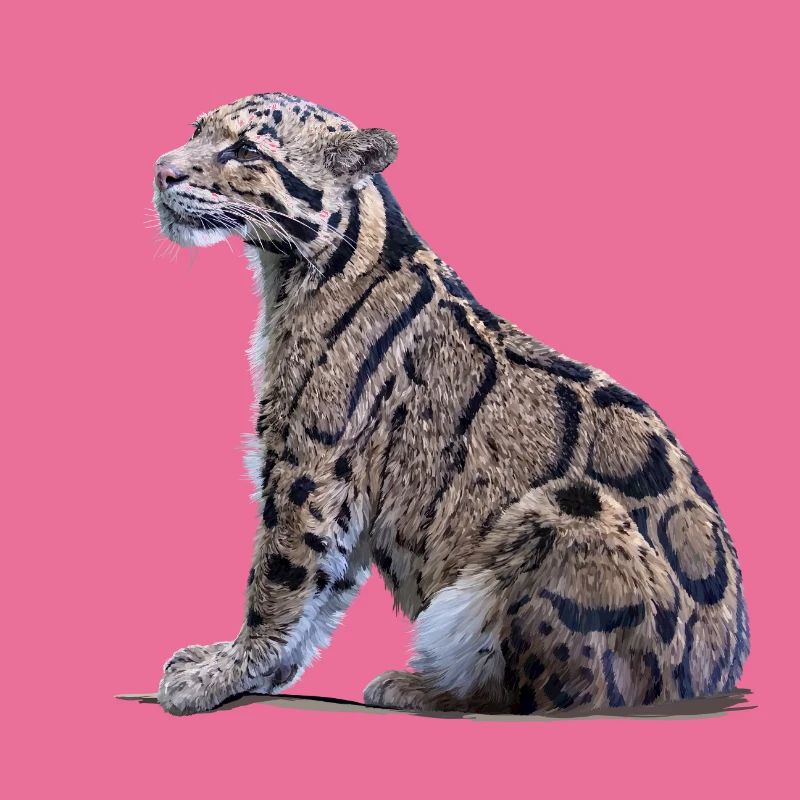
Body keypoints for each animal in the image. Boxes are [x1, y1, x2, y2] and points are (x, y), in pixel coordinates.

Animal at [153, 92, 749, 716]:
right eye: (195, 130)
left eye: (247, 150)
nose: (161, 171)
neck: (286, 276)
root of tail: (716, 672)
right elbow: (324, 587)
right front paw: (254, 670)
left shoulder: (308, 463)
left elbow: (282, 576)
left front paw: (223, 672)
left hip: (570, 511)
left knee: (559, 694)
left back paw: (422, 685)